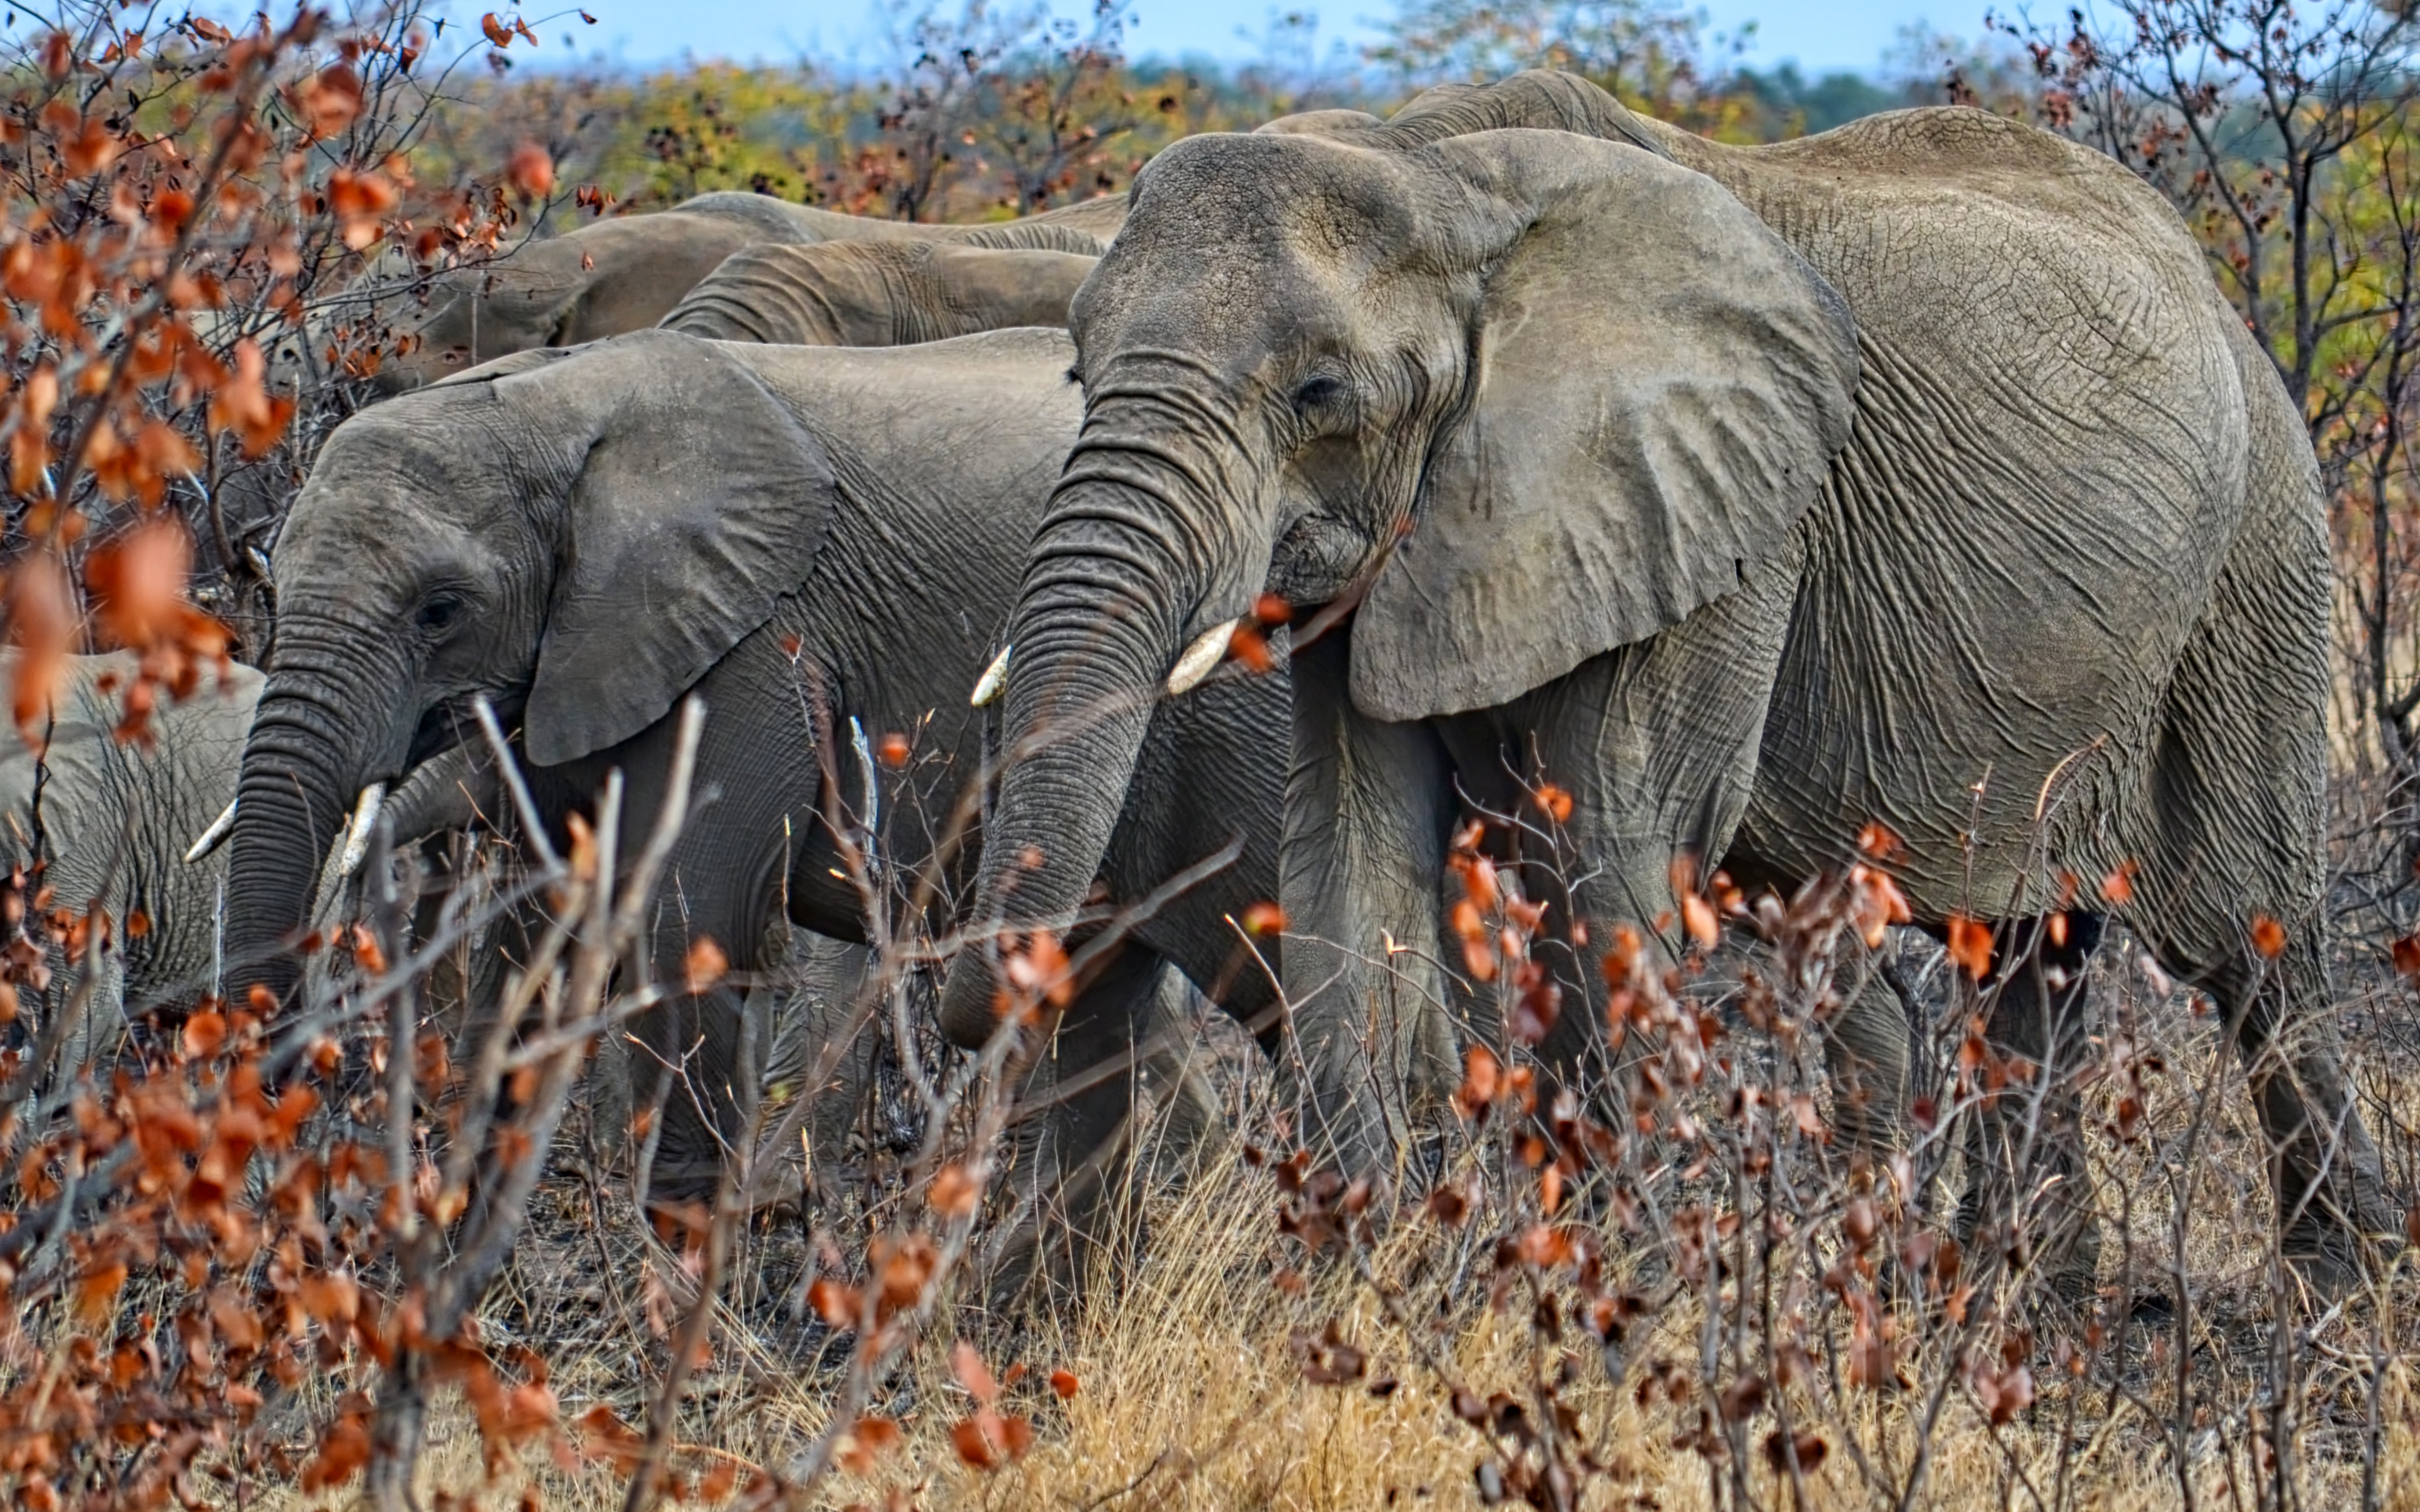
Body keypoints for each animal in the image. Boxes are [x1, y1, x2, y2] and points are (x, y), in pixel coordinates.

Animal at [222, 327, 1287, 1277]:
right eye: (272, 582)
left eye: (439, 610)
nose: (286, 1069)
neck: (553, 402)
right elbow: (531, 942)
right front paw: (459, 1272)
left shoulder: (757, 645)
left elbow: (695, 922)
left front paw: (691, 1294)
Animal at [934, 70, 2391, 1287]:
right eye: (1076, 367)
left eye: (1319, 395)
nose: (966, 1010)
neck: (1435, 171)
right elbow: (1349, 865)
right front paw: (1353, 1302)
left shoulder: (1724, 514)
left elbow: (1613, 866)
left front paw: (1617, 1313)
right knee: (2029, 967)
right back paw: (2017, 1309)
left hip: (2258, 563)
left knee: (2253, 953)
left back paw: (2334, 1315)